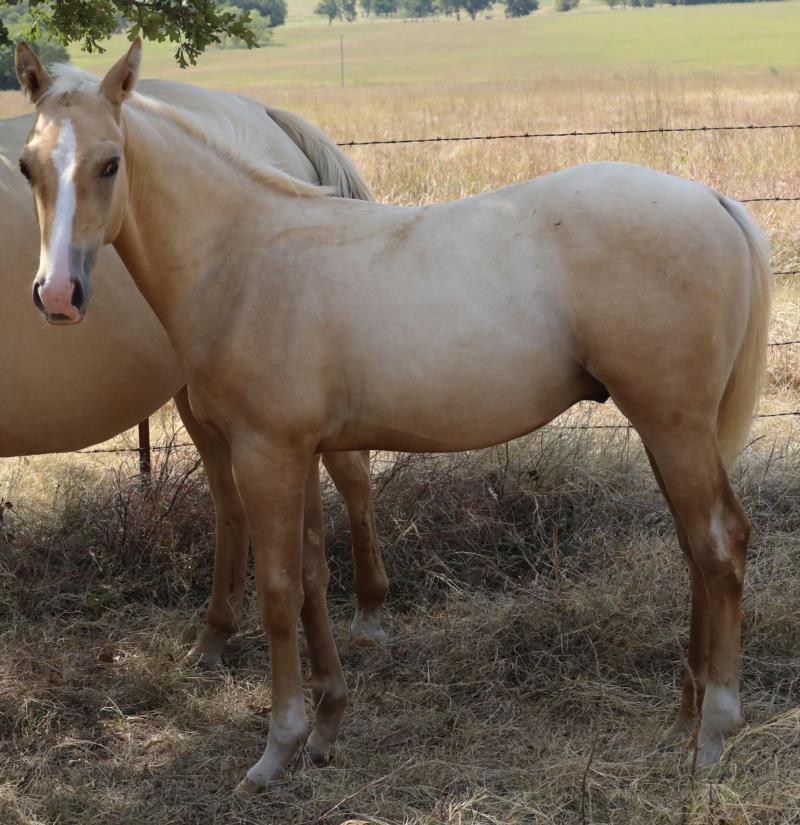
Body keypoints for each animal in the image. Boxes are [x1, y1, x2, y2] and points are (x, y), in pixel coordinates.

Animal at [0, 72, 388, 662]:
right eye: (24, 170)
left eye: (111, 166)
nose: (58, 294)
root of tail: (264, 114)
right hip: (203, 398)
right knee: (233, 506)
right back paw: (215, 634)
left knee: (347, 476)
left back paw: (366, 609)